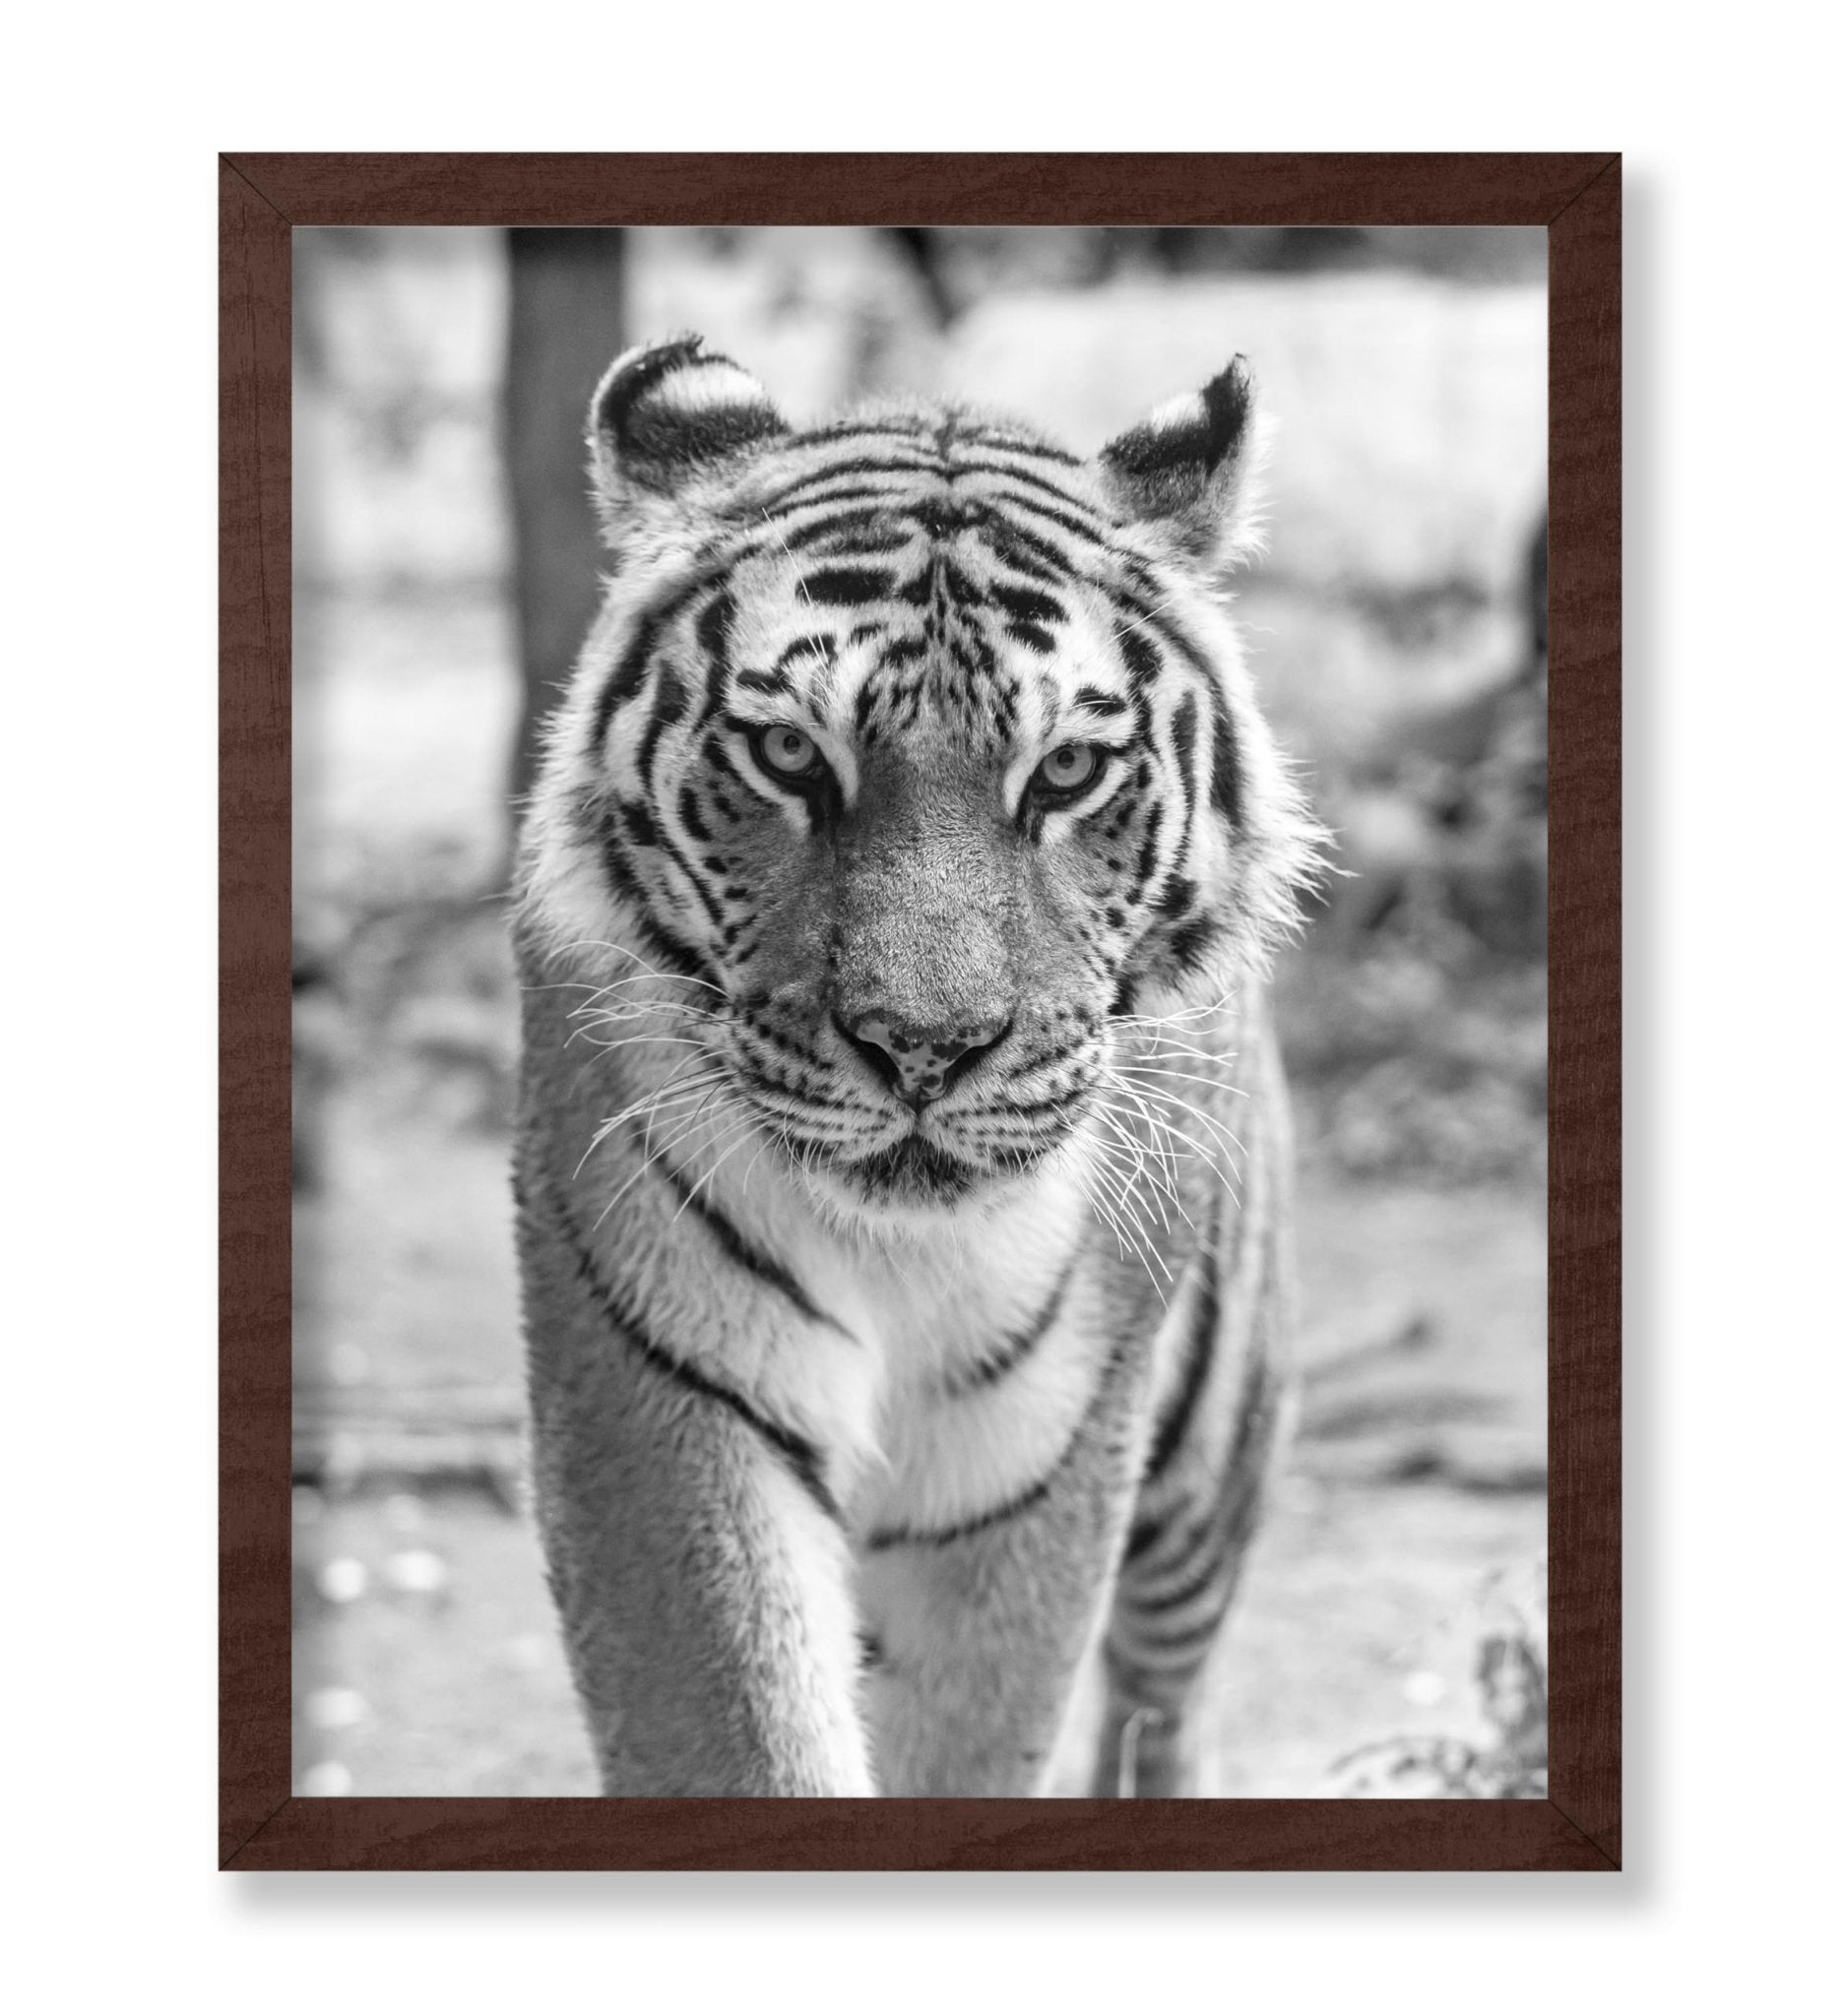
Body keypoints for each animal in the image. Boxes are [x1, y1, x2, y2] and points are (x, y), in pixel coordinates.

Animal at [512, 334, 1321, 1797]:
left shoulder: (1033, 1453)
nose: (924, 1047)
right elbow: (742, 1728)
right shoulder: (665, 1392)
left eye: (1065, 771)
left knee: (1162, 1695)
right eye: (789, 754)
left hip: (1209, 1453)